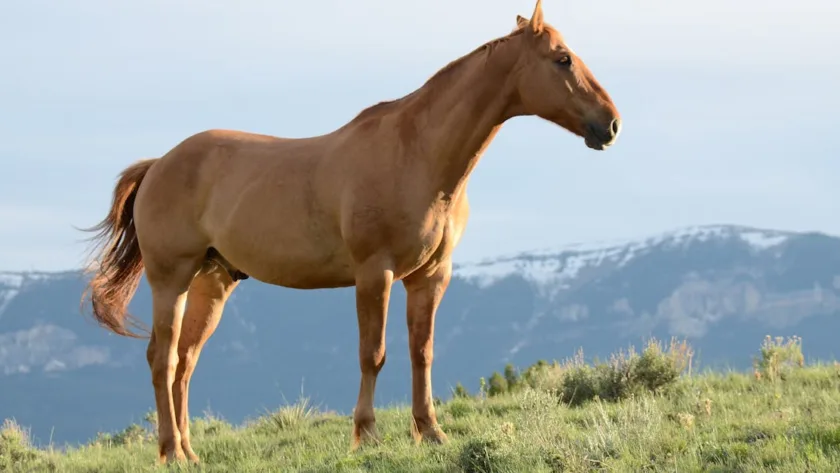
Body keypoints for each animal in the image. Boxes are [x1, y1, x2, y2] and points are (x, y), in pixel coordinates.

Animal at [80, 0, 621, 464]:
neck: (417, 155)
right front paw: (367, 436)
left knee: (186, 362)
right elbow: (373, 354)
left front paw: (431, 432)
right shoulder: (374, 274)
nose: (611, 124)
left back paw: (191, 452)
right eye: (562, 59)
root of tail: (159, 164)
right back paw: (171, 452)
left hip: (212, 282)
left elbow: (422, 353)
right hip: (171, 279)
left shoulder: (431, 276)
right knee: (163, 358)